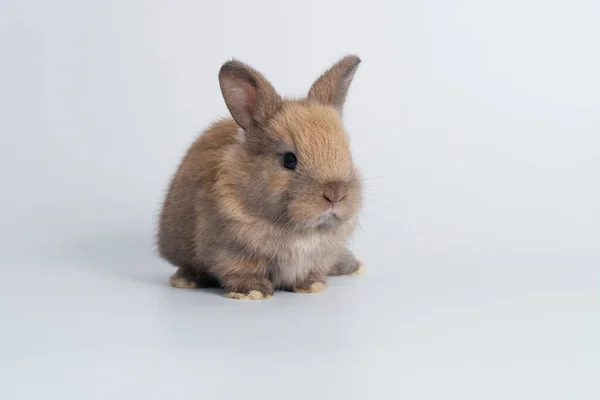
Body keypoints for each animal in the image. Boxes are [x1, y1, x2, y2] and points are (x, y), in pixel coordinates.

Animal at [157, 54, 364, 298]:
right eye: (289, 160)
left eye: (347, 151)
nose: (335, 194)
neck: (299, 230)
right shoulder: (233, 251)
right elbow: (243, 271)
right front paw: (252, 292)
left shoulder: (317, 258)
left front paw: (313, 286)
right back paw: (187, 281)